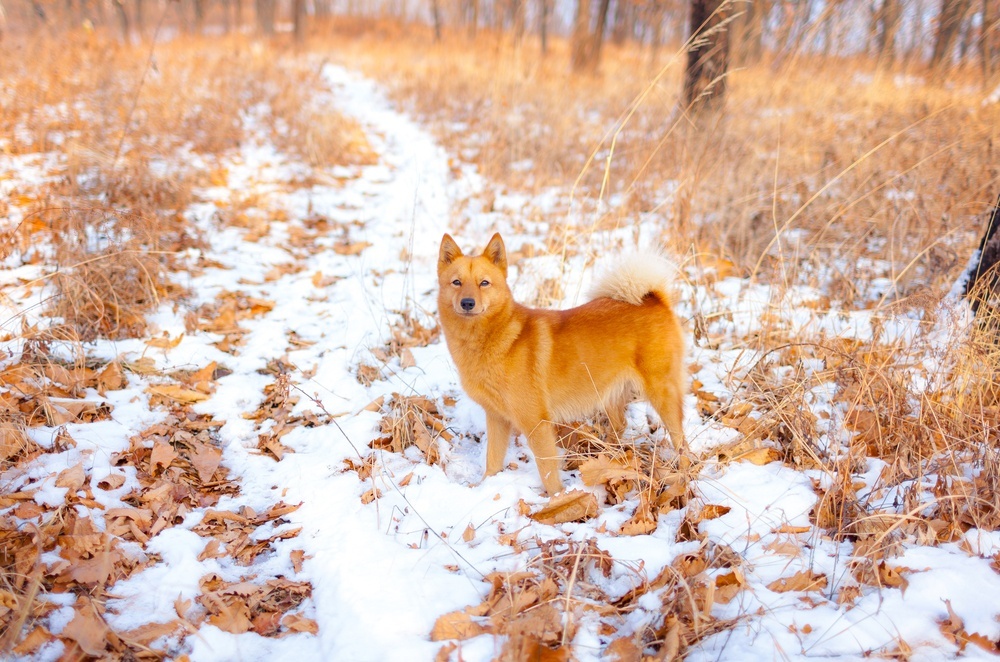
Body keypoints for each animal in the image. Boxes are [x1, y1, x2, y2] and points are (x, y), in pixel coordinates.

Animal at [440, 236, 688, 496]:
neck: (494, 338)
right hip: (609, 394)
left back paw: (683, 473)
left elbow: (547, 471)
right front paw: (485, 487)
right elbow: (493, 460)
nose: (468, 303)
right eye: (456, 282)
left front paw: (557, 498)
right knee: (621, 425)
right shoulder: (497, 419)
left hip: (663, 395)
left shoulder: (536, 424)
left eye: (484, 283)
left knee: (681, 441)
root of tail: (654, 299)